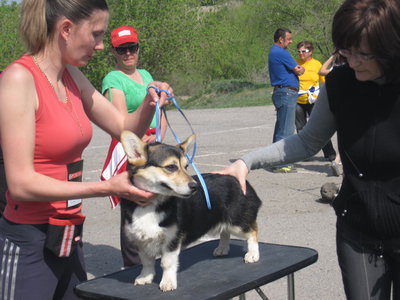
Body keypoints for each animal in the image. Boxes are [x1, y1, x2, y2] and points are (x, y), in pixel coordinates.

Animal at [119, 131, 262, 290]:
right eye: (171, 167)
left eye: (186, 166)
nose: (195, 187)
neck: (152, 204)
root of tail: (239, 179)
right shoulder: (142, 241)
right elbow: (147, 262)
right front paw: (145, 277)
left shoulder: (172, 240)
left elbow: (166, 263)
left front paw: (168, 282)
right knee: (225, 232)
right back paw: (222, 249)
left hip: (237, 223)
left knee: (253, 232)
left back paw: (253, 254)